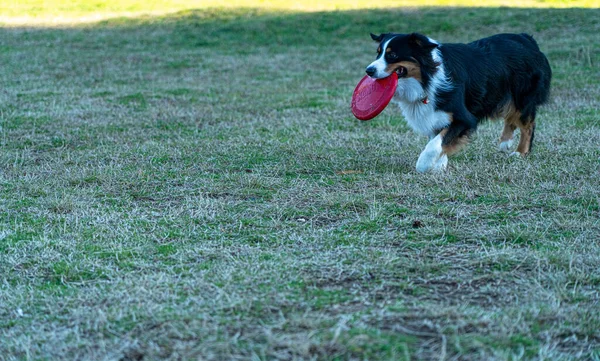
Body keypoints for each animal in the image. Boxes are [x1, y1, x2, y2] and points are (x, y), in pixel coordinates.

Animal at [364, 32, 552, 172]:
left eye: (392, 55)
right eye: (378, 53)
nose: (369, 71)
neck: (427, 78)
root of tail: (527, 39)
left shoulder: (464, 118)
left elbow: (435, 143)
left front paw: (424, 163)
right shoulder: (435, 116)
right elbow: (439, 139)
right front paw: (439, 165)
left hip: (522, 96)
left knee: (527, 124)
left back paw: (520, 152)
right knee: (511, 117)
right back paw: (505, 143)